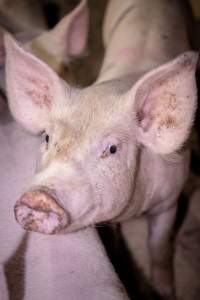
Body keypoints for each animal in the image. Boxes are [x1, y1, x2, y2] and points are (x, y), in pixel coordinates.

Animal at [4, 0, 198, 300]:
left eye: (112, 148)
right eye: (47, 137)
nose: (39, 197)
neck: (135, 211)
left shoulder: (169, 201)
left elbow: (160, 250)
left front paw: (164, 292)